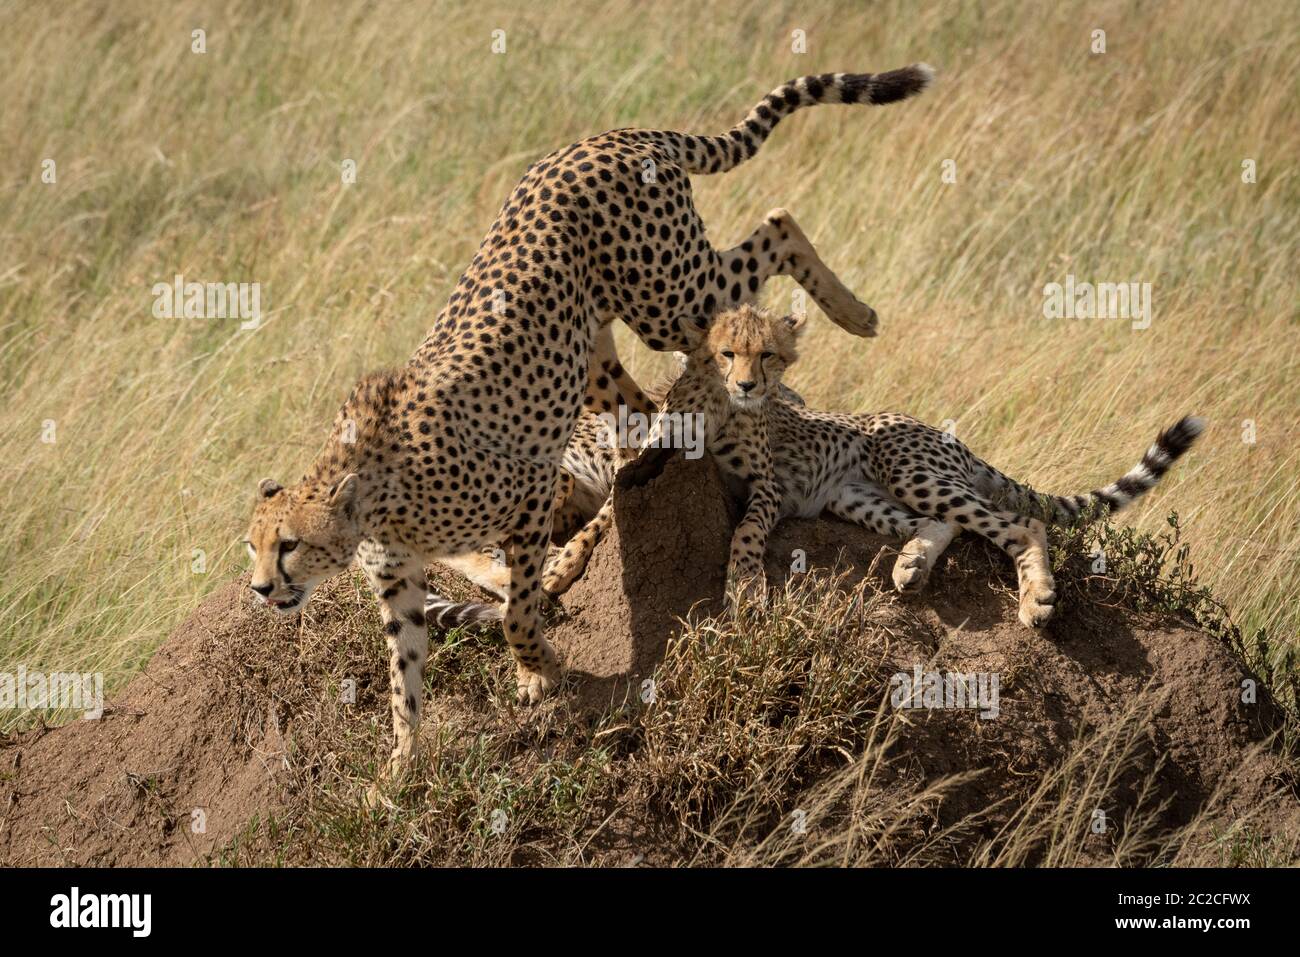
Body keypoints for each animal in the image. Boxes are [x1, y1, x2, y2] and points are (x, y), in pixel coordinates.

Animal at [244, 69, 935, 785]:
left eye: (289, 544)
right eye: (251, 545)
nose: (262, 589)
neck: (370, 498)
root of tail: (601, 137)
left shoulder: (524, 501)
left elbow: (519, 612)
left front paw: (539, 670)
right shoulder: (401, 582)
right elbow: (402, 679)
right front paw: (398, 772)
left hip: (669, 293)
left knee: (774, 231)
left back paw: (853, 315)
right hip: (598, 350)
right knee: (651, 416)